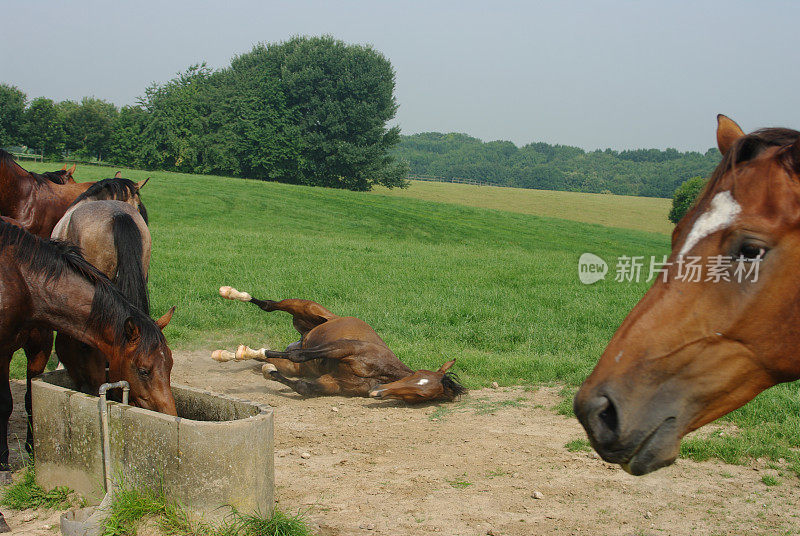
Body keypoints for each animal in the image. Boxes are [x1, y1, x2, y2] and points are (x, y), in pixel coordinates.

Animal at [0, 216, 177, 476]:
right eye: (144, 371)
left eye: (170, 366)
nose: (169, 416)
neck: (23, 279)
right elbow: (5, 402)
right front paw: (3, 461)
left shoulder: (38, 346)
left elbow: (30, 394)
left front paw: (32, 449)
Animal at [212, 284, 466, 402]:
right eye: (417, 376)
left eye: (422, 395)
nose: (378, 393)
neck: (379, 370)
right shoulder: (344, 347)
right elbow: (300, 355)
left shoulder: (334, 384)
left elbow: (303, 386)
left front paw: (267, 370)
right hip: (305, 307)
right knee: (269, 306)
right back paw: (230, 294)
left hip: (296, 359)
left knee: (274, 357)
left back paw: (231, 354)